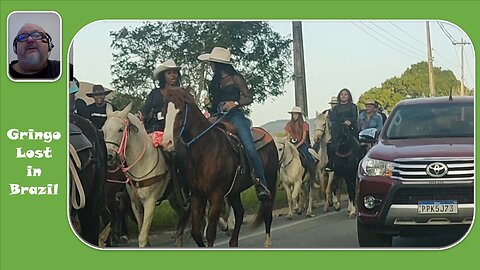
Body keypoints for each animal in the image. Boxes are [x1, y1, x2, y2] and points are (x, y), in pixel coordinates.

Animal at [104, 103, 172, 247]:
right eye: (103, 129)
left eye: (120, 129)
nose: (109, 156)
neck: (142, 163)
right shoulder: (135, 204)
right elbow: (141, 229)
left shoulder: (150, 202)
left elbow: (142, 237)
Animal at [163, 87, 280, 248]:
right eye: (163, 112)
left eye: (180, 112)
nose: (166, 143)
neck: (205, 150)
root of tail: (267, 134)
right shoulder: (197, 195)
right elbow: (196, 233)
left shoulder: (216, 195)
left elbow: (210, 233)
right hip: (234, 191)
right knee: (240, 212)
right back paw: (233, 242)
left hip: (269, 180)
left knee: (267, 211)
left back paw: (267, 243)